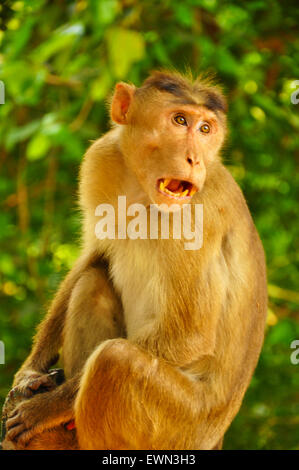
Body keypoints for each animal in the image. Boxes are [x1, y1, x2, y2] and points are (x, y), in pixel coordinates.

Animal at [1, 70, 268, 452]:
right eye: (180, 120)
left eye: (206, 129)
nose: (194, 159)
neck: (143, 192)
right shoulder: (101, 158)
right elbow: (92, 256)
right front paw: (29, 372)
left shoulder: (196, 216)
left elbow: (188, 336)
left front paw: (47, 407)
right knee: (93, 283)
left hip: (178, 426)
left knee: (115, 359)